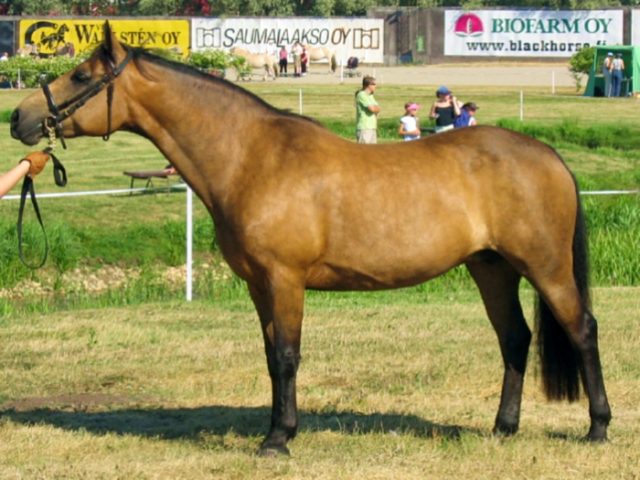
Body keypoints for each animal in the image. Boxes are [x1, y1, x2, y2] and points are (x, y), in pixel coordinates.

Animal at [11, 23, 608, 458]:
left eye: (81, 74)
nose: (20, 117)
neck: (251, 156)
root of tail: (549, 156)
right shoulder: (258, 285)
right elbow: (271, 354)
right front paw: (278, 430)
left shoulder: (285, 279)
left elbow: (288, 355)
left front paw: (278, 441)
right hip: (491, 267)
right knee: (515, 339)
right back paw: (503, 428)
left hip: (546, 267)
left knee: (581, 330)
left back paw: (597, 428)